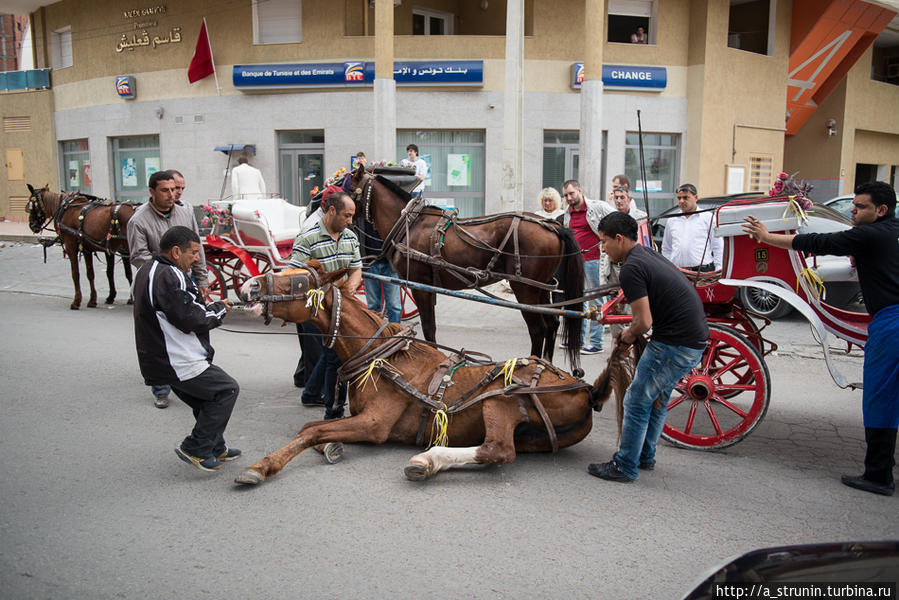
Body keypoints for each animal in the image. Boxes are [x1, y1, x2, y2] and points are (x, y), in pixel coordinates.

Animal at [236, 264, 608, 486]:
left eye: (298, 279)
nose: (247, 286)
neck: (382, 359)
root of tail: (585, 390)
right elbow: (311, 428)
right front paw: (330, 445)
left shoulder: (374, 425)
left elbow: (310, 432)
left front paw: (263, 466)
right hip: (534, 437)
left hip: (500, 400)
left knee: (498, 450)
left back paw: (428, 459)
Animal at [348, 164, 588, 370]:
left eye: (348, 186)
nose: (331, 204)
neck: (410, 224)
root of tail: (554, 226)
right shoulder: (428, 288)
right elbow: (431, 327)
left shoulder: (419, 286)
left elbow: (428, 328)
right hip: (541, 288)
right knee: (552, 324)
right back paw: (545, 364)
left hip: (524, 289)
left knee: (538, 329)